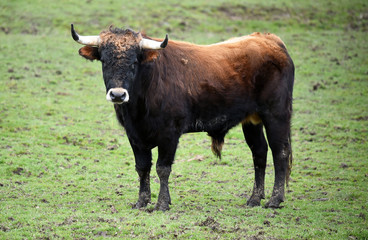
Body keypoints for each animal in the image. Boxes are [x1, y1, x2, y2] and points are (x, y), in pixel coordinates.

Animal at [72, 23, 294, 210]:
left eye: (134, 61)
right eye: (104, 61)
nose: (118, 95)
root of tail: (270, 40)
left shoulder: (170, 133)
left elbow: (162, 168)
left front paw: (162, 203)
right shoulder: (134, 135)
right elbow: (142, 167)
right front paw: (142, 202)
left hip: (276, 115)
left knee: (280, 152)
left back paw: (275, 199)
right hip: (251, 120)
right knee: (259, 152)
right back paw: (254, 198)